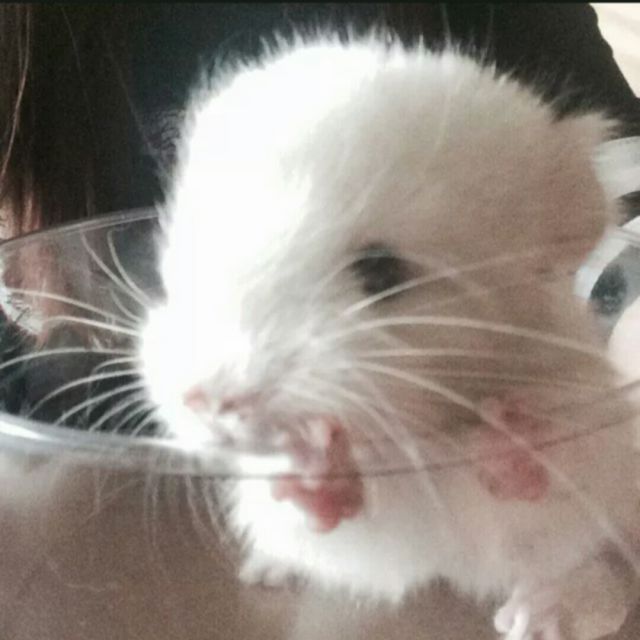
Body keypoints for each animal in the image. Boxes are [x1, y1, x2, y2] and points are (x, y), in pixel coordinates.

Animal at [138, 34, 640, 639]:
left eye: (380, 271)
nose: (203, 402)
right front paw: (313, 470)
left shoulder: (588, 445)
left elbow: (546, 473)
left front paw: (508, 432)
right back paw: (266, 570)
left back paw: (535, 616)